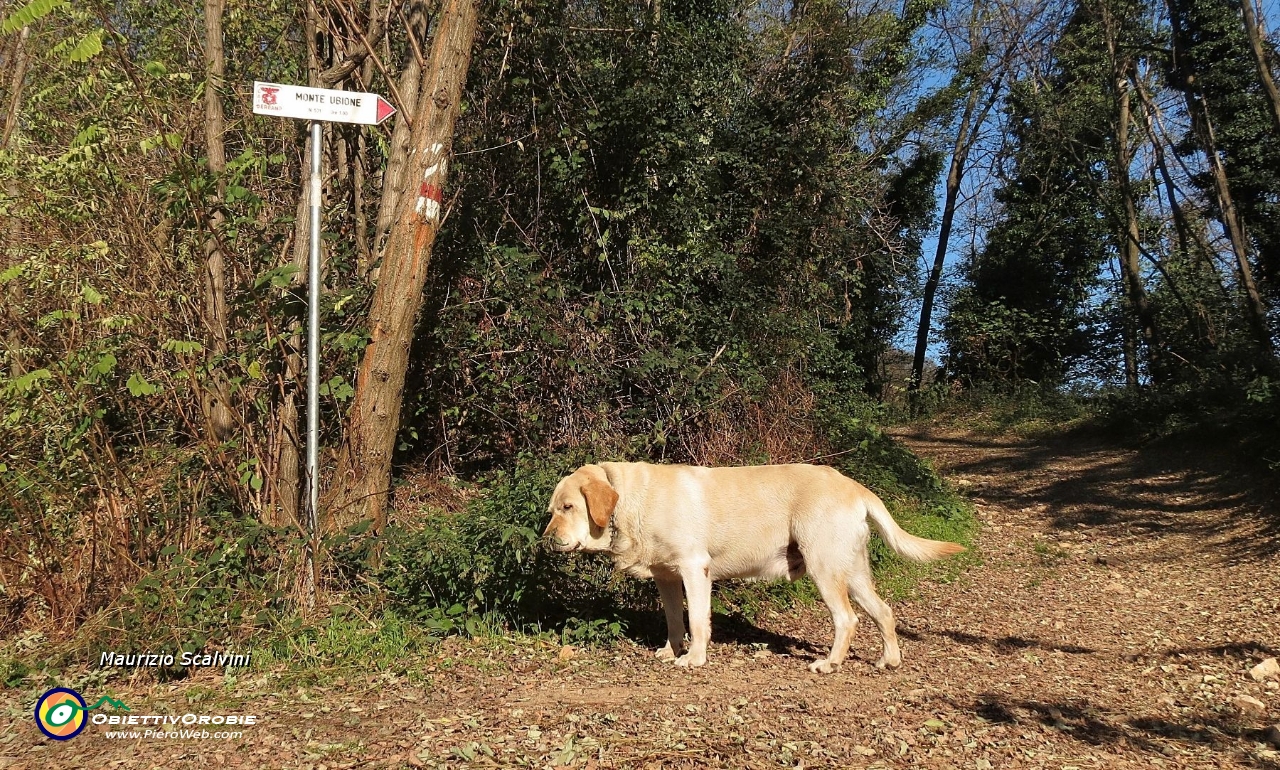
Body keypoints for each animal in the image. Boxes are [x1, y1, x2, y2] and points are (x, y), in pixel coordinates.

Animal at [540, 460, 962, 670]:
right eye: (551, 511)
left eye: (569, 507)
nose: (545, 539)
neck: (632, 498)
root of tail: (853, 485)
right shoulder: (666, 578)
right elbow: (675, 620)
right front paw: (671, 651)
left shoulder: (694, 569)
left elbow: (698, 621)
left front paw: (694, 659)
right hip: (853, 574)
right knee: (884, 613)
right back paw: (889, 660)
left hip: (825, 569)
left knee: (848, 620)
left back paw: (829, 663)